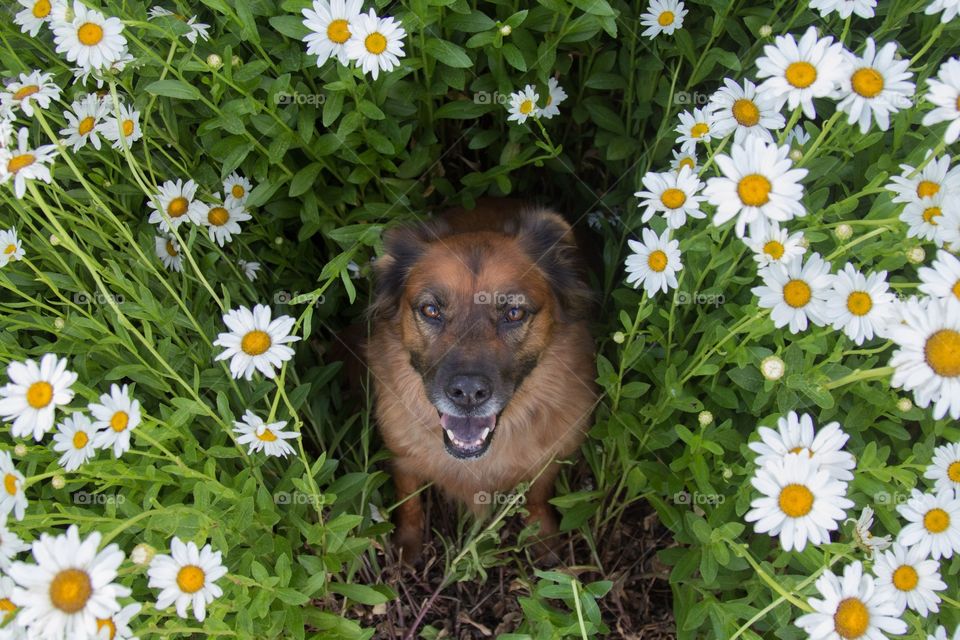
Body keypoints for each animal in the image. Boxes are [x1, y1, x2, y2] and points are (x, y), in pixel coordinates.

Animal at [370, 199, 600, 560]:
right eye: (431, 310)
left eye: (514, 313)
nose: (467, 393)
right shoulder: (402, 455)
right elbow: (408, 501)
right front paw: (408, 546)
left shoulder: (548, 456)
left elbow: (538, 496)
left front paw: (542, 541)